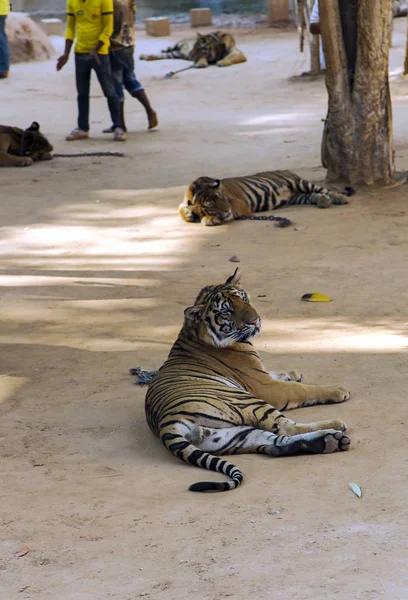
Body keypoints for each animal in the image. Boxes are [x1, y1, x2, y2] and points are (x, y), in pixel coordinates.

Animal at [138, 268, 350, 492]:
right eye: (227, 312)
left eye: (244, 299)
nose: (255, 321)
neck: (195, 333)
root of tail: (165, 423)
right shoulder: (265, 387)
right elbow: (301, 389)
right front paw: (338, 389)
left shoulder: (261, 376)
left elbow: (277, 374)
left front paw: (293, 373)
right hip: (248, 403)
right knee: (287, 428)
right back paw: (336, 427)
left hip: (233, 436)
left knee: (275, 442)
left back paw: (330, 442)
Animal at [180, 170, 356, 226]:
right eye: (211, 204)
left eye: (221, 198)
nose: (225, 210)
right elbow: (181, 208)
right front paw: (189, 214)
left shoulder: (239, 204)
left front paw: (210, 219)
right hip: (296, 197)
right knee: (312, 195)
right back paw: (323, 201)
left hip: (300, 182)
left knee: (323, 190)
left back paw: (339, 198)